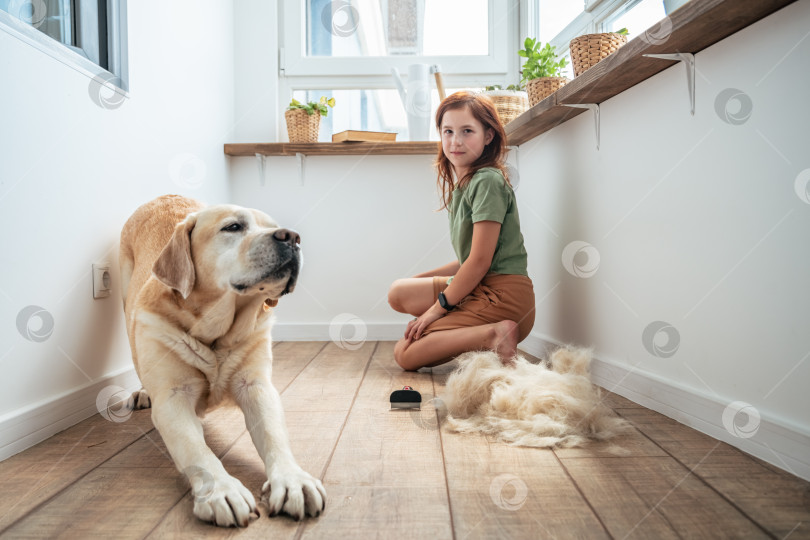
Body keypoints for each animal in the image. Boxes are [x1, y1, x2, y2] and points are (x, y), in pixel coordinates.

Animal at [118, 195, 324, 528]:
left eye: (274, 226)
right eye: (234, 227)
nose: (292, 237)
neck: (217, 334)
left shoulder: (257, 387)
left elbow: (274, 435)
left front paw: (294, 480)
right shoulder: (172, 400)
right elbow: (196, 450)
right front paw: (222, 490)